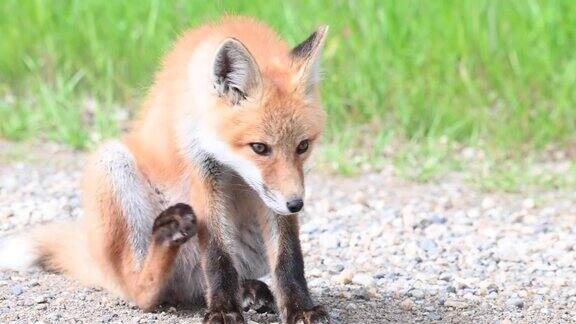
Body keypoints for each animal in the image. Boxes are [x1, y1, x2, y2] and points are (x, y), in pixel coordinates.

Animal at [0, 15, 330, 324]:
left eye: (303, 146)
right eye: (259, 148)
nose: (296, 204)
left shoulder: (274, 194)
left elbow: (288, 259)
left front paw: (301, 309)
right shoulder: (202, 167)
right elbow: (218, 257)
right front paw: (224, 310)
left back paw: (247, 289)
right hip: (112, 163)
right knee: (143, 291)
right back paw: (166, 245)